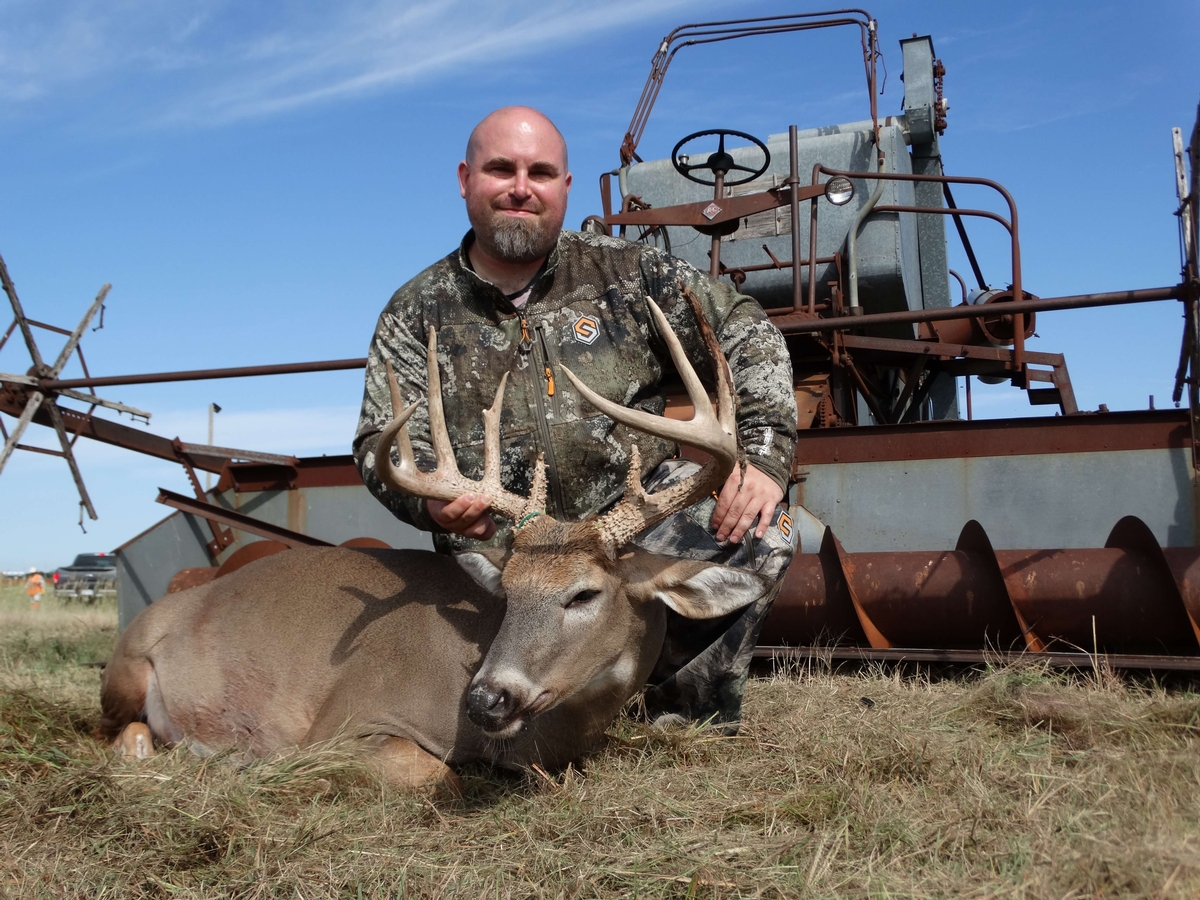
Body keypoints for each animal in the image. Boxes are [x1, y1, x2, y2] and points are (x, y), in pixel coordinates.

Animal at [100, 295, 769, 795]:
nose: (486, 699)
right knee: (120, 731)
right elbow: (434, 772)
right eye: (509, 593)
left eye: (584, 594)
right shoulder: (344, 722)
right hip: (126, 667)